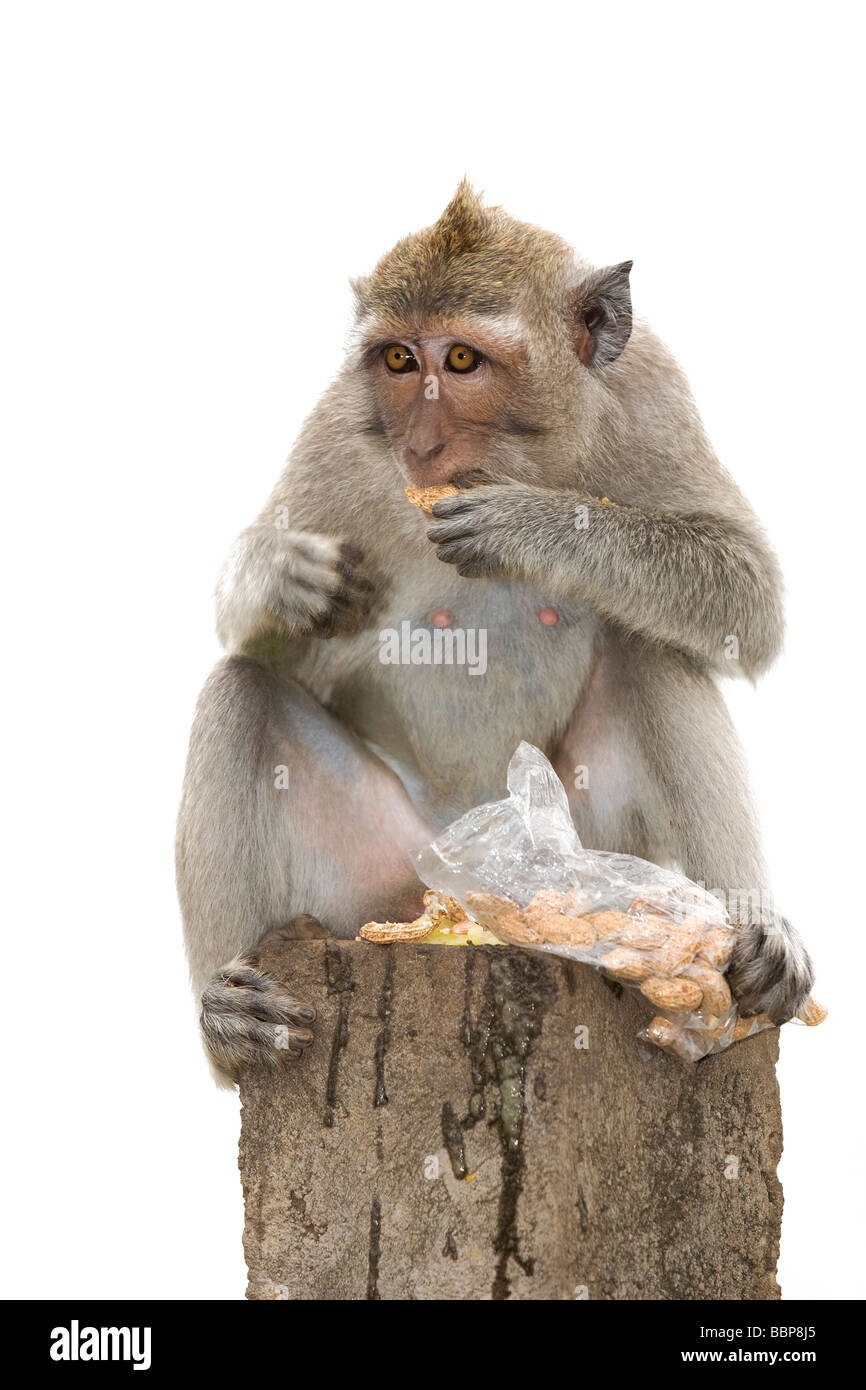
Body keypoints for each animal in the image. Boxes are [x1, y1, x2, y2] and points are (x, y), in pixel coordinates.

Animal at [176, 181, 813, 1085]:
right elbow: (258, 639)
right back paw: (227, 1018)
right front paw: (283, 575)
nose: (420, 441)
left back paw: (753, 937)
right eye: (399, 361)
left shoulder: (654, 392)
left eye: (463, 361)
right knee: (239, 692)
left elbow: (746, 597)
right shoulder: (339, 433)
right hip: (368, 880)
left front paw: (527, 524)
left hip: (587, 854)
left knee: (652, 650)